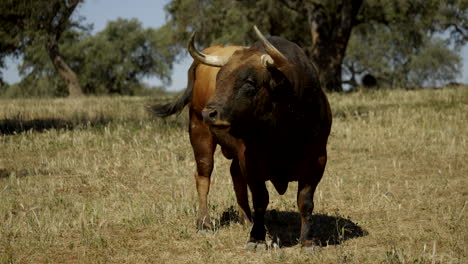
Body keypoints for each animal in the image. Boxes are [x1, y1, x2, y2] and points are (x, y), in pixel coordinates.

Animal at [151, 25, 332, 251]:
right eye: (219, 79)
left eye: (249, 83)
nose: (209, 113)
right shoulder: (251, 161)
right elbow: (261, 199)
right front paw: (257, 239)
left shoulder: (317, 161)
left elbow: (305, 201)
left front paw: (308, 240)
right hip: (200, 134)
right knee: (203, 175)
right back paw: (204, 222)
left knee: (235, 174)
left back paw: (246, 218)